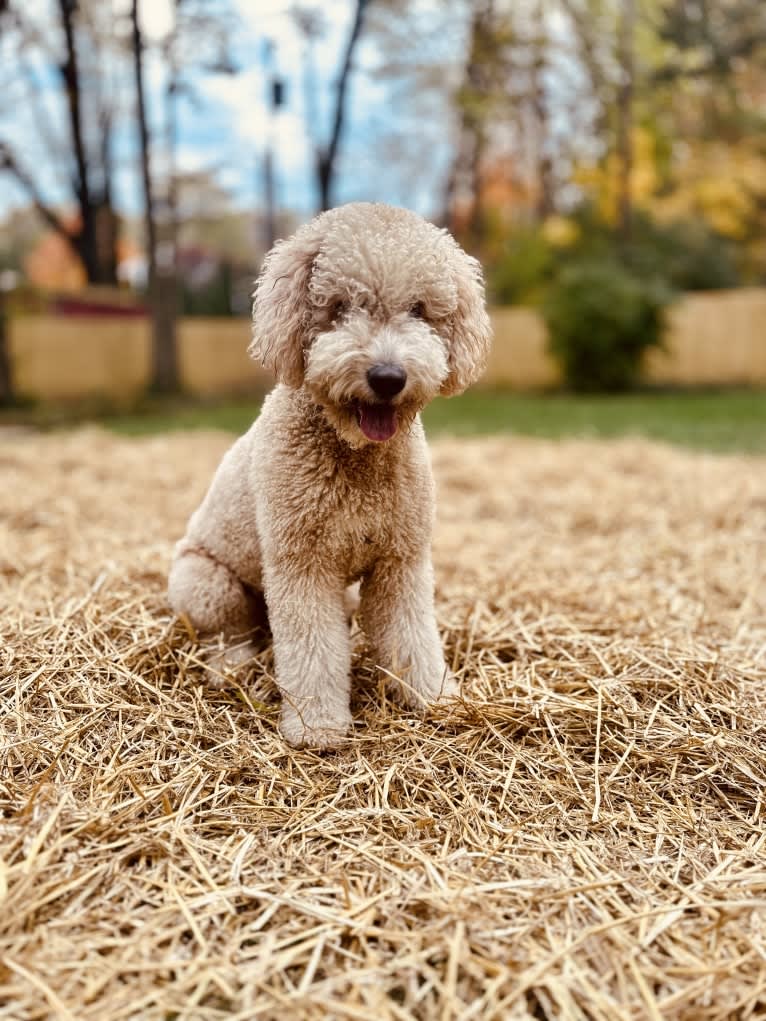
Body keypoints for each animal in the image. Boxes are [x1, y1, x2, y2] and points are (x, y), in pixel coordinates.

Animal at [167, 203, 492, 751]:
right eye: (339, 306)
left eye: (419, 310)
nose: (388, 377)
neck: (356, 456)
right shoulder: (303, 567)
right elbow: (313, 652)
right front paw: (317, 727)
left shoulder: (400, 562)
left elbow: (413, 636)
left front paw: (434, 697)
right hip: (206, 583)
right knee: (229, 634)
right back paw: (232, 668)